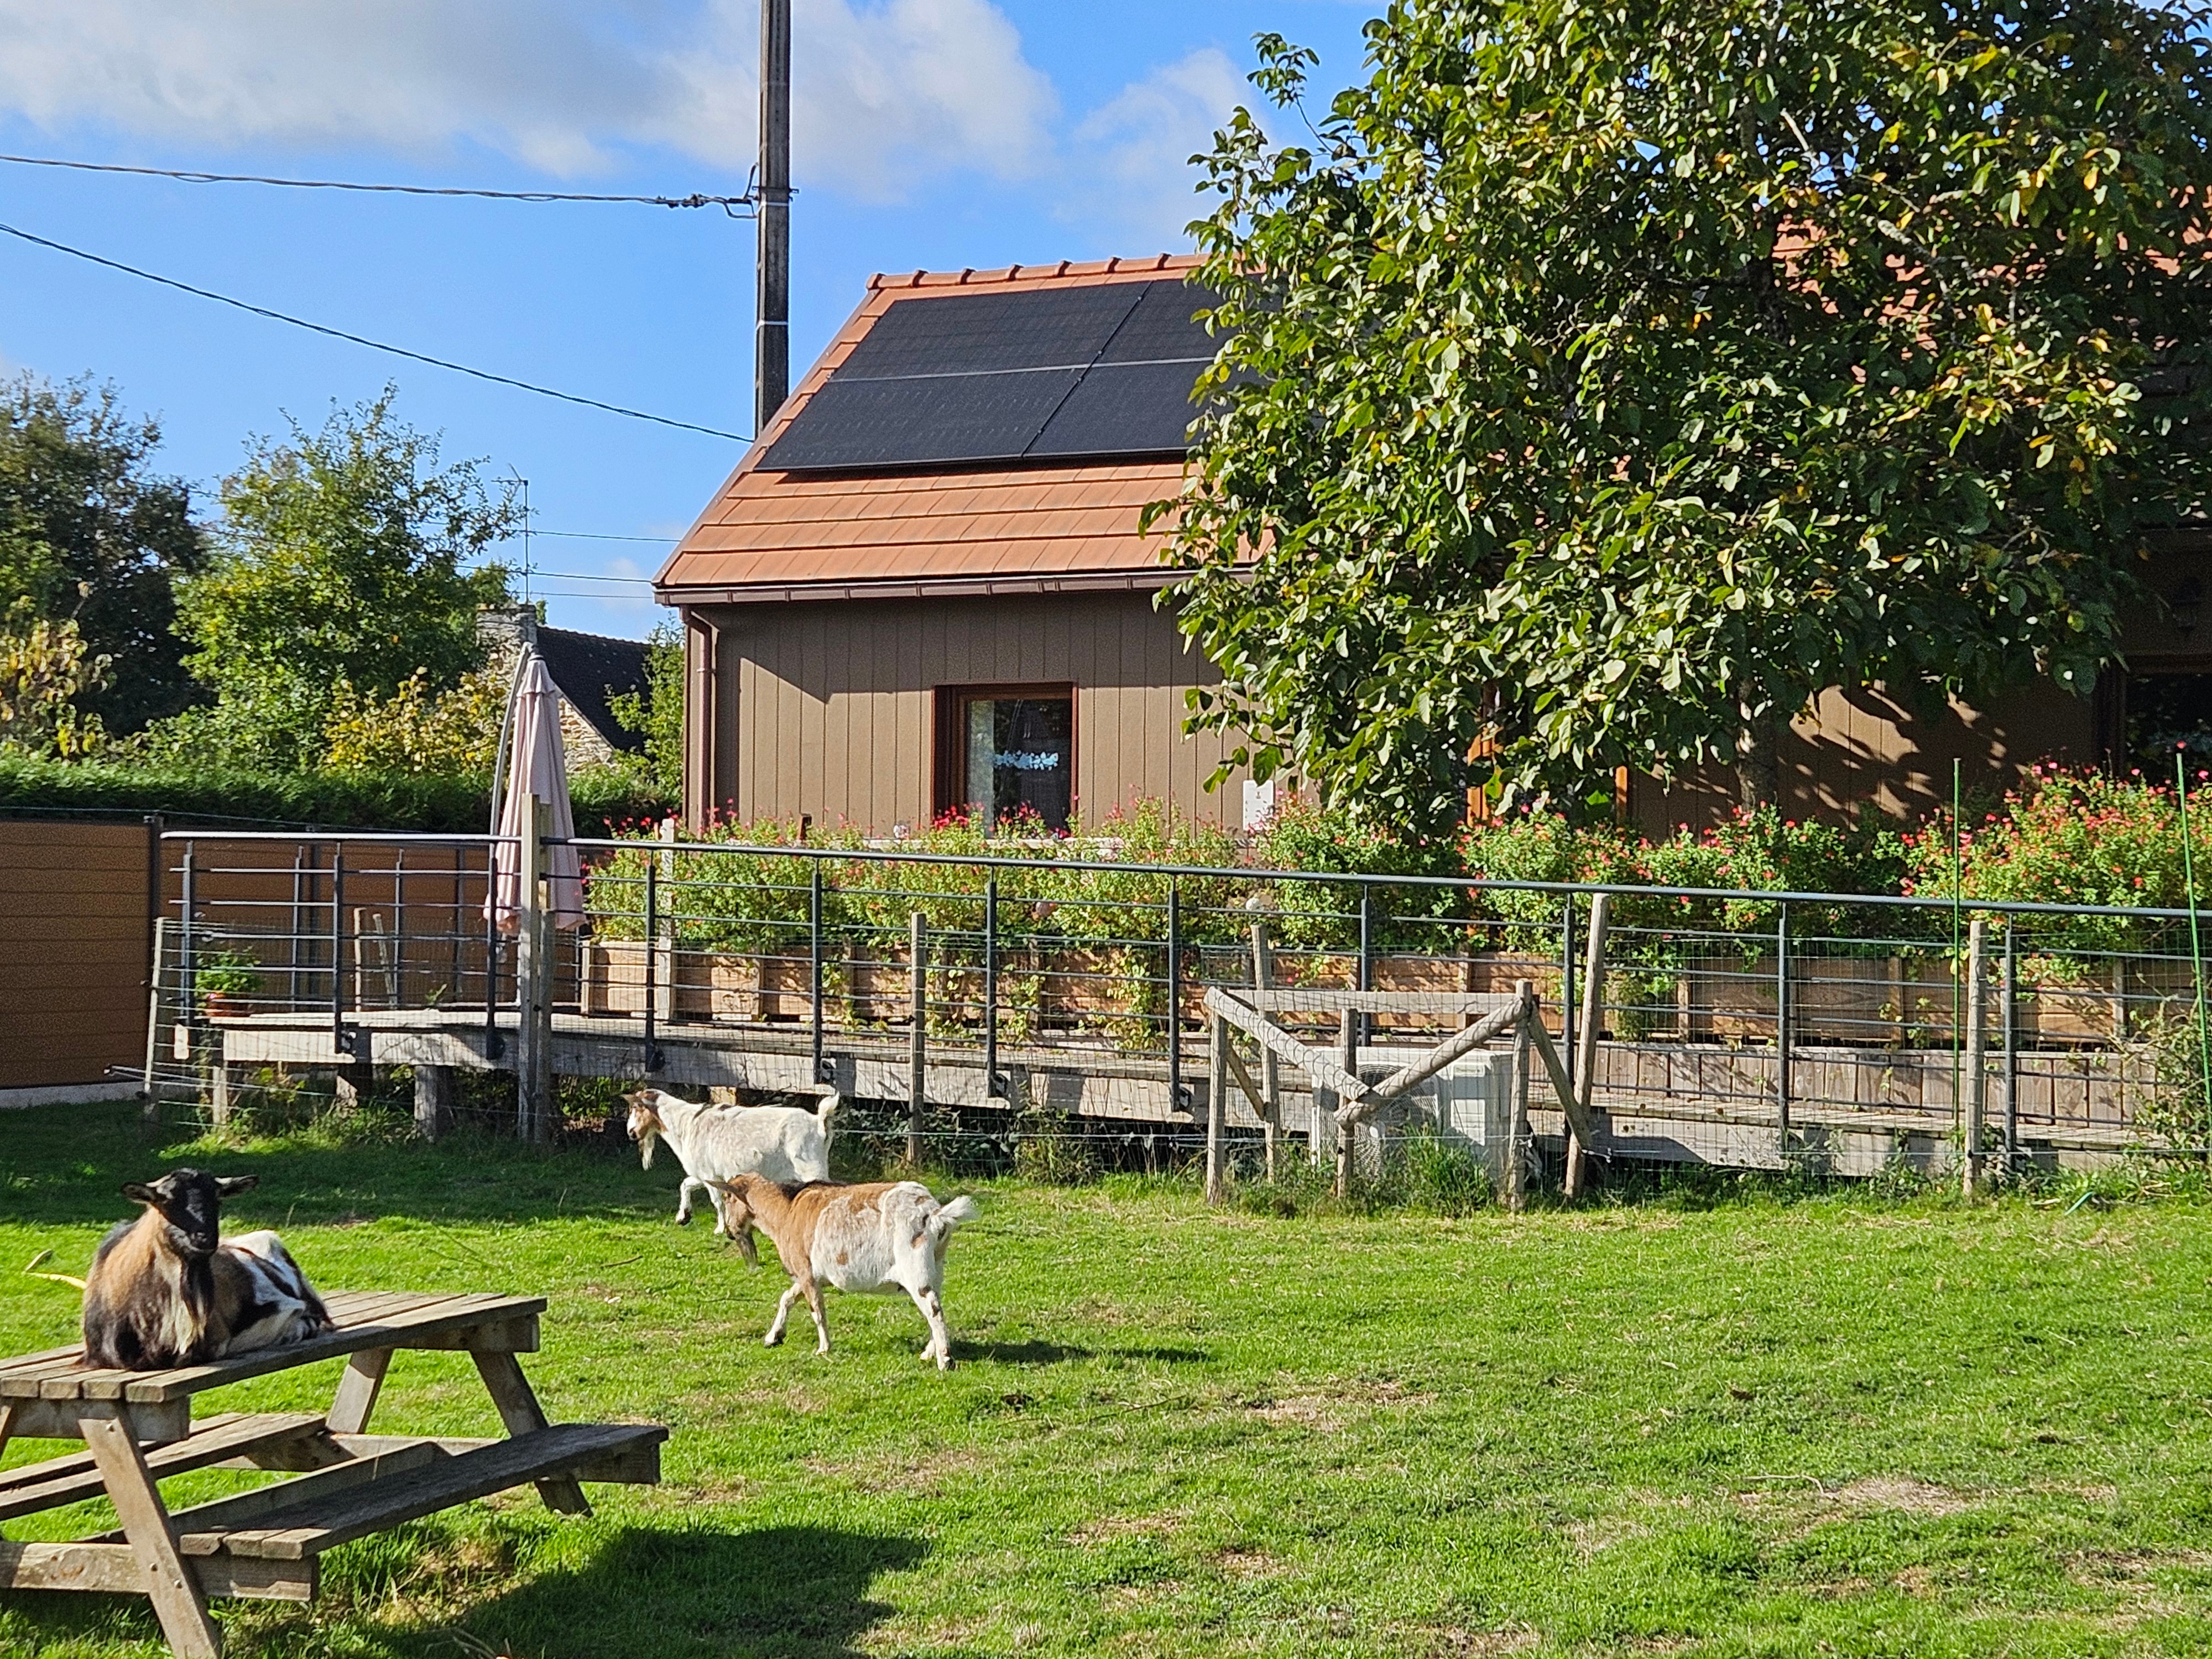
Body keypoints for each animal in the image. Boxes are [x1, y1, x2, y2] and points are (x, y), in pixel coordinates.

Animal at [624, 1087, 839, 1234]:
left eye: (637, 1108)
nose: (631, 1133)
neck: (685, 1124)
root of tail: (818, 1122)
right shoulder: (703, 1174)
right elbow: (685, 1185)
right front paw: (682, 1217)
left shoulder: (708, 1172)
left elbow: (717, 1201)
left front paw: (720, 1228)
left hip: (811, 1166)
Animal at [708, 1174, 980, 1370]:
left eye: (727, 1197)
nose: (729, 1232)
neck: (787, 1211)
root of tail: (934, 1215)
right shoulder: (813, 1275)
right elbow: (787, 1297)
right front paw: (773, 1337)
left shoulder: (806, 1272)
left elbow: (817, 1311)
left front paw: (824, 1349)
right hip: (936, 1265)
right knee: (936, 1304)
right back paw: (928, 1353)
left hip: (915, 1267)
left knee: (932, 1309)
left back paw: (945, 1361)